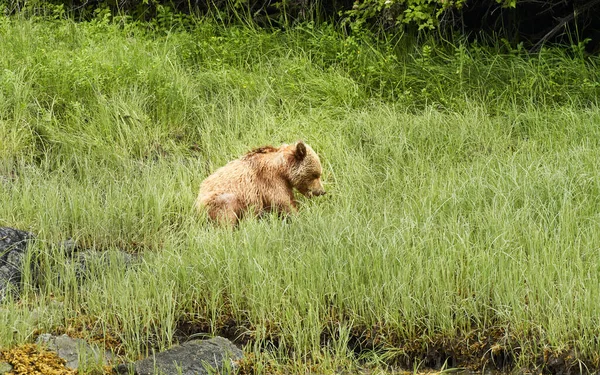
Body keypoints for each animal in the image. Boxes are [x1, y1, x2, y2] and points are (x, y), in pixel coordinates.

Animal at [197, 142, 326, 226]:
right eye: (315, 175)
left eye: (319, 174)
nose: (321, 191)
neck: (282, 169)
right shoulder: (270, 180)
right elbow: (283, 202)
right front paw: (300, 217)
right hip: (218, 201)